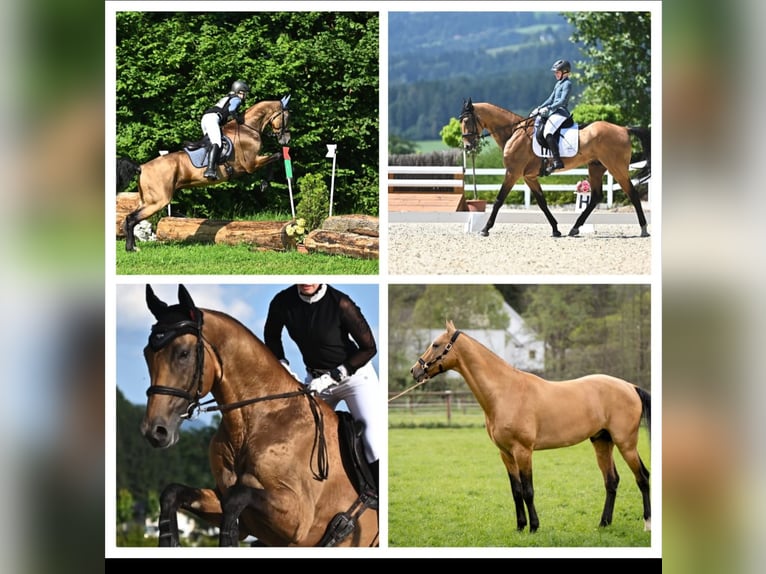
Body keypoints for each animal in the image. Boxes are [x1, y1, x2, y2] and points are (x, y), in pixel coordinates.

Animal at [120, 97, 292, 252]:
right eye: (286, 117)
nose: (286, 139)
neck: (248, 129)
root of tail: (141, 167)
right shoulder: (251, 164)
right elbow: (276, 156)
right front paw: (265, 184)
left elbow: (275, 157)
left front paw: (264, 183)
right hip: (159, 201)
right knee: (131, 219)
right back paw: (131, 248)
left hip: (147, 200)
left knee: (131, 219)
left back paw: (132, 246)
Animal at [140, 286, 380, 552]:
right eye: (147, 354)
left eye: (183, 353)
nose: (155, 431)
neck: (251, 425)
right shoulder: (231, 506)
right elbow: (172, 493)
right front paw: (169, 540)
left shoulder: (298, 522)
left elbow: (237, 498)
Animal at [412, 324, 652, 536]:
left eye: (436, 344)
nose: (415, 370)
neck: (505, 391)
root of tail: (630, 386)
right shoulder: (506, 454)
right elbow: (516, 491)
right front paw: (520, 526)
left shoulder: (523, 451)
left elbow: (528, 491)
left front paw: (534, 527)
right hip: (602, 442)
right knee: (611, 481)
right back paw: (603, 524)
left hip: (625, 444)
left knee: (642, 478)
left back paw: (647, 524)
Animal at [462, 100, 656, 240]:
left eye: (467, 121)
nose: (467, 146)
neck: (514, 132)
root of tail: (624, 128)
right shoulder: (529, 177)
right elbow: (542, 202)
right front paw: (555, 229)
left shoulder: (513, 172)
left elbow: (498, 200)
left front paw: (485, 228)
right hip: (596, 167)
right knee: (596, 196)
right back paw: (574, 228)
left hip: (616, 168)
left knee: (632, 193)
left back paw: (644, 229)